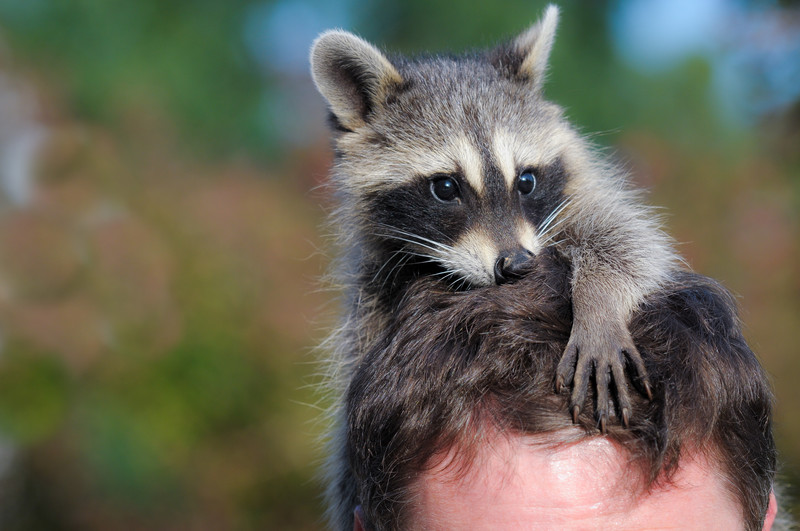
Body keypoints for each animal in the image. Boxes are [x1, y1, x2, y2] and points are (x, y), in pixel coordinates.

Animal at [312, 5, 680, 531]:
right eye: (446, 187)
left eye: (525, 180)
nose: (517, 264)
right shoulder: (371, 287)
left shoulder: (578, 196)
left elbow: (629, 240)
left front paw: (599, 301)